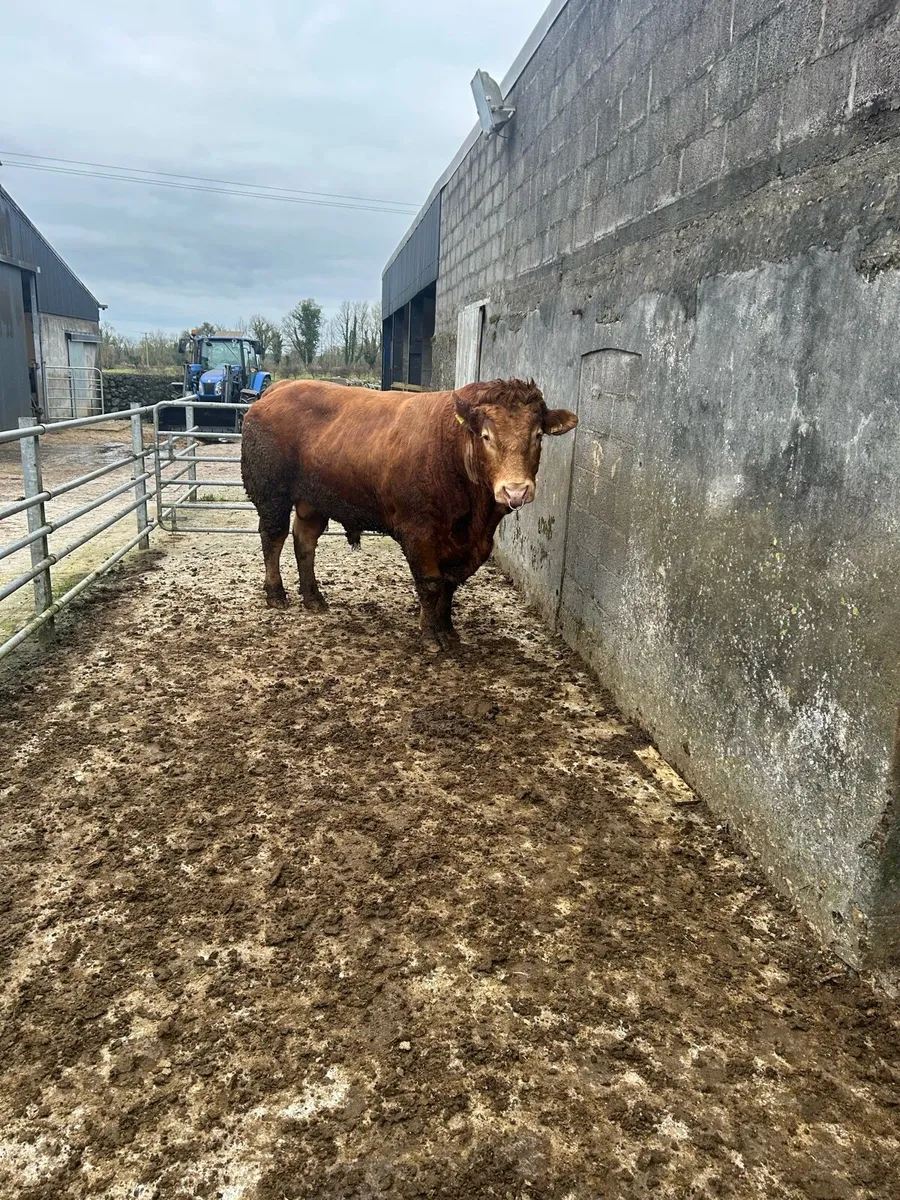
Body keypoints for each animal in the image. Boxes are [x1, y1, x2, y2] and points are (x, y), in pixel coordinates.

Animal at [240, 377, 577, 650]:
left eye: (537, 435)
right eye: (486, 436)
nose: (515, 490)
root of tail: (280, 388)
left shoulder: (471, 544)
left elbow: (449, 584)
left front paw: (448, 631)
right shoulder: (418, 532)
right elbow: (431, 583)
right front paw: (430, 636)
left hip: (314, 501)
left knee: (305, 541)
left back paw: (313, 597)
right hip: (272, 493)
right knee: (273, 538)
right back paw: (276, 593)